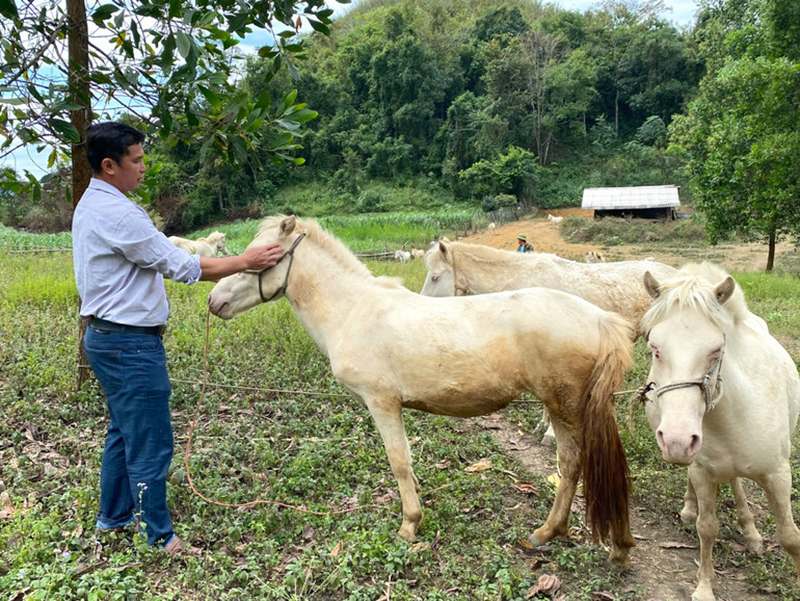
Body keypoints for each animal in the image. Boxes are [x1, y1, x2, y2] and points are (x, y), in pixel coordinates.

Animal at [211, 214, 636, 568]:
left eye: (259, 259)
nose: (216, 300)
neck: (353, 311)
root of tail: (599, 318)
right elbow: (409, 462)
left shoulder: (382, 403)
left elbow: (398, 461)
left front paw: (409, 524)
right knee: (571, 465)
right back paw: (559, 533)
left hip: (565, 406)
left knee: (576, 462)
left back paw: (587, 539)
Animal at [640, 264, 800, 600]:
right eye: (655, 348)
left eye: (716, 349)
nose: (677, 440)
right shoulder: (703, 472)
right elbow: (707, 528)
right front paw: (704, 587)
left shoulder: (779, 475)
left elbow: (790, 536)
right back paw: (690, 508)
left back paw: (751, 532)